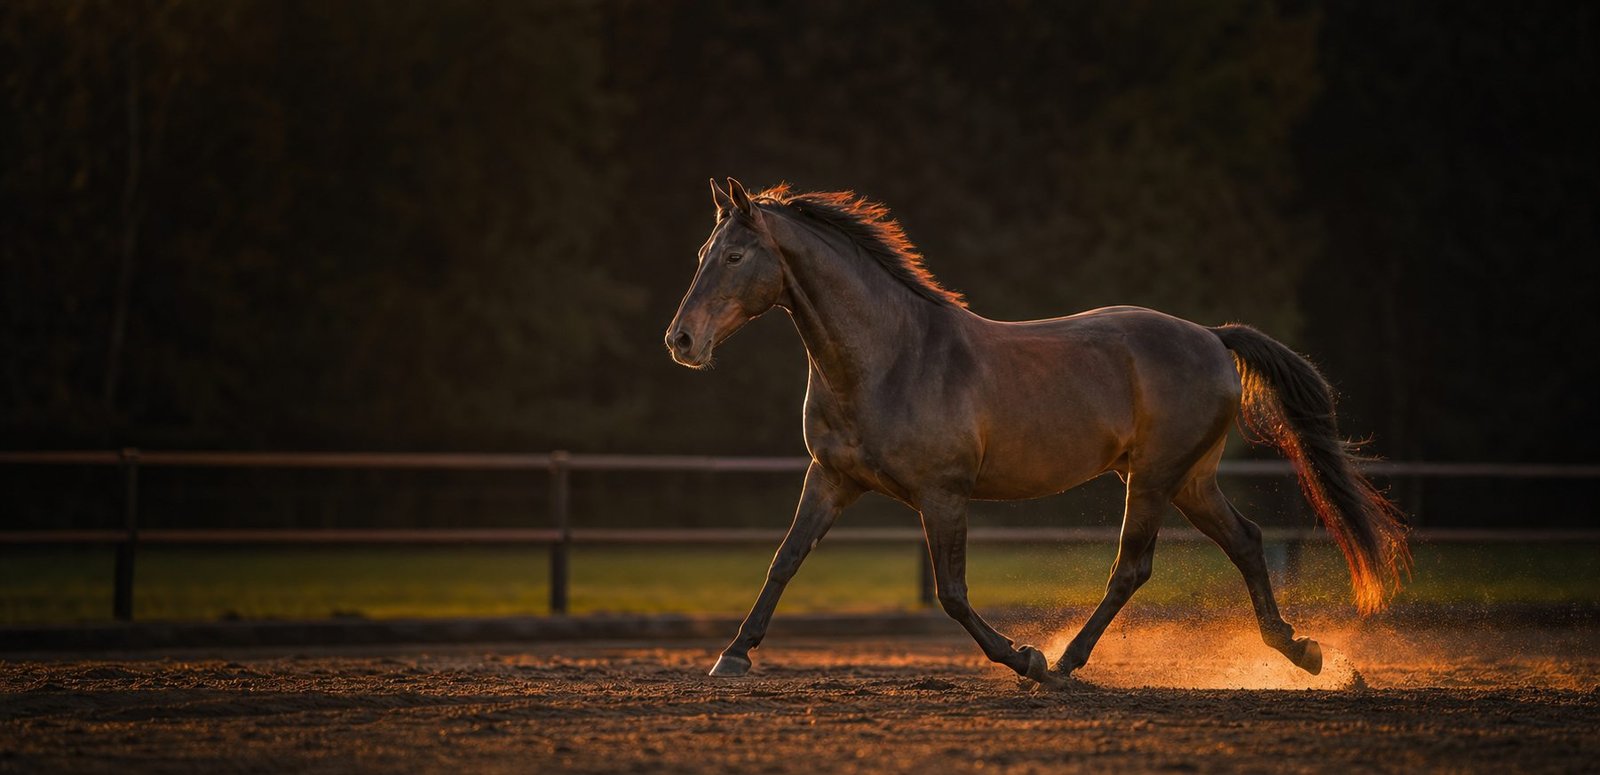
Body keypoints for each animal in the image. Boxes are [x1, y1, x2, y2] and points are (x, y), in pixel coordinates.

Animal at [665, 178, 1410, 688]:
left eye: (735, 256)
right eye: (704, 251)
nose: (681, 340)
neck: (888, 358)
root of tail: (1210, 336)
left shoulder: (943, 495)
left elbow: (952, 593)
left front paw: (1023, 655)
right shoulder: (831, 478)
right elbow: (785, 558)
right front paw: (732, 655)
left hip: (1155, 477)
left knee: (1132, 566)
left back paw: (1065, 662)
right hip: (1191, 480)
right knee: (1248, 542)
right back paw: (1301, 650)